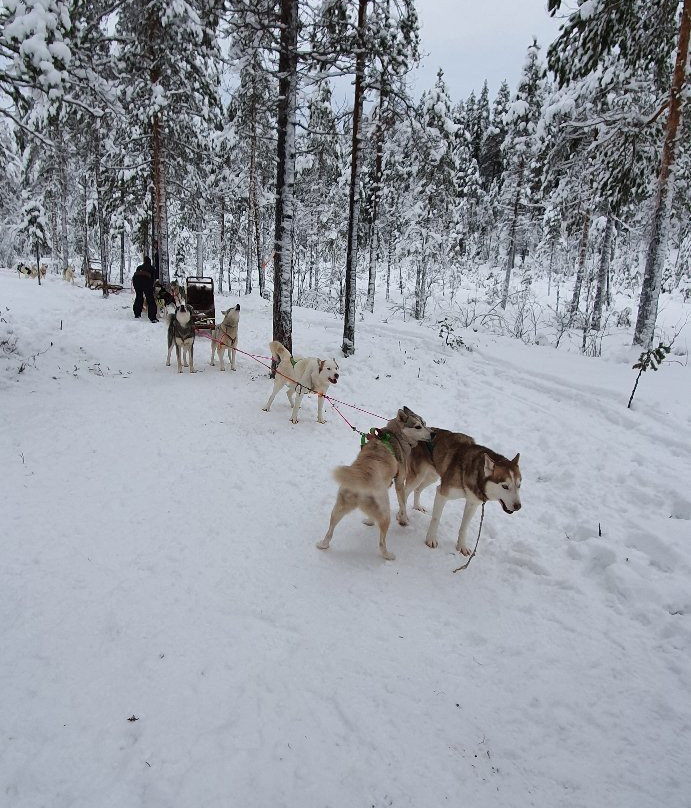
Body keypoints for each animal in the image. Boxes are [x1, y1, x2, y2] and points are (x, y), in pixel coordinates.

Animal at [318, 404, 436, 560]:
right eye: (418, 426)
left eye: (425, 423)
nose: (433, 434)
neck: (395, 435)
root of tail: (360, 479)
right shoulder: (399, 483)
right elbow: (403, 505)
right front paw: (404, 520)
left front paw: (369, 521)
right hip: (385, 515)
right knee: (381, 542)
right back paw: (388, 555)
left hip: (338, 510)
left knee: (330, 531)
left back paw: (323, 544)